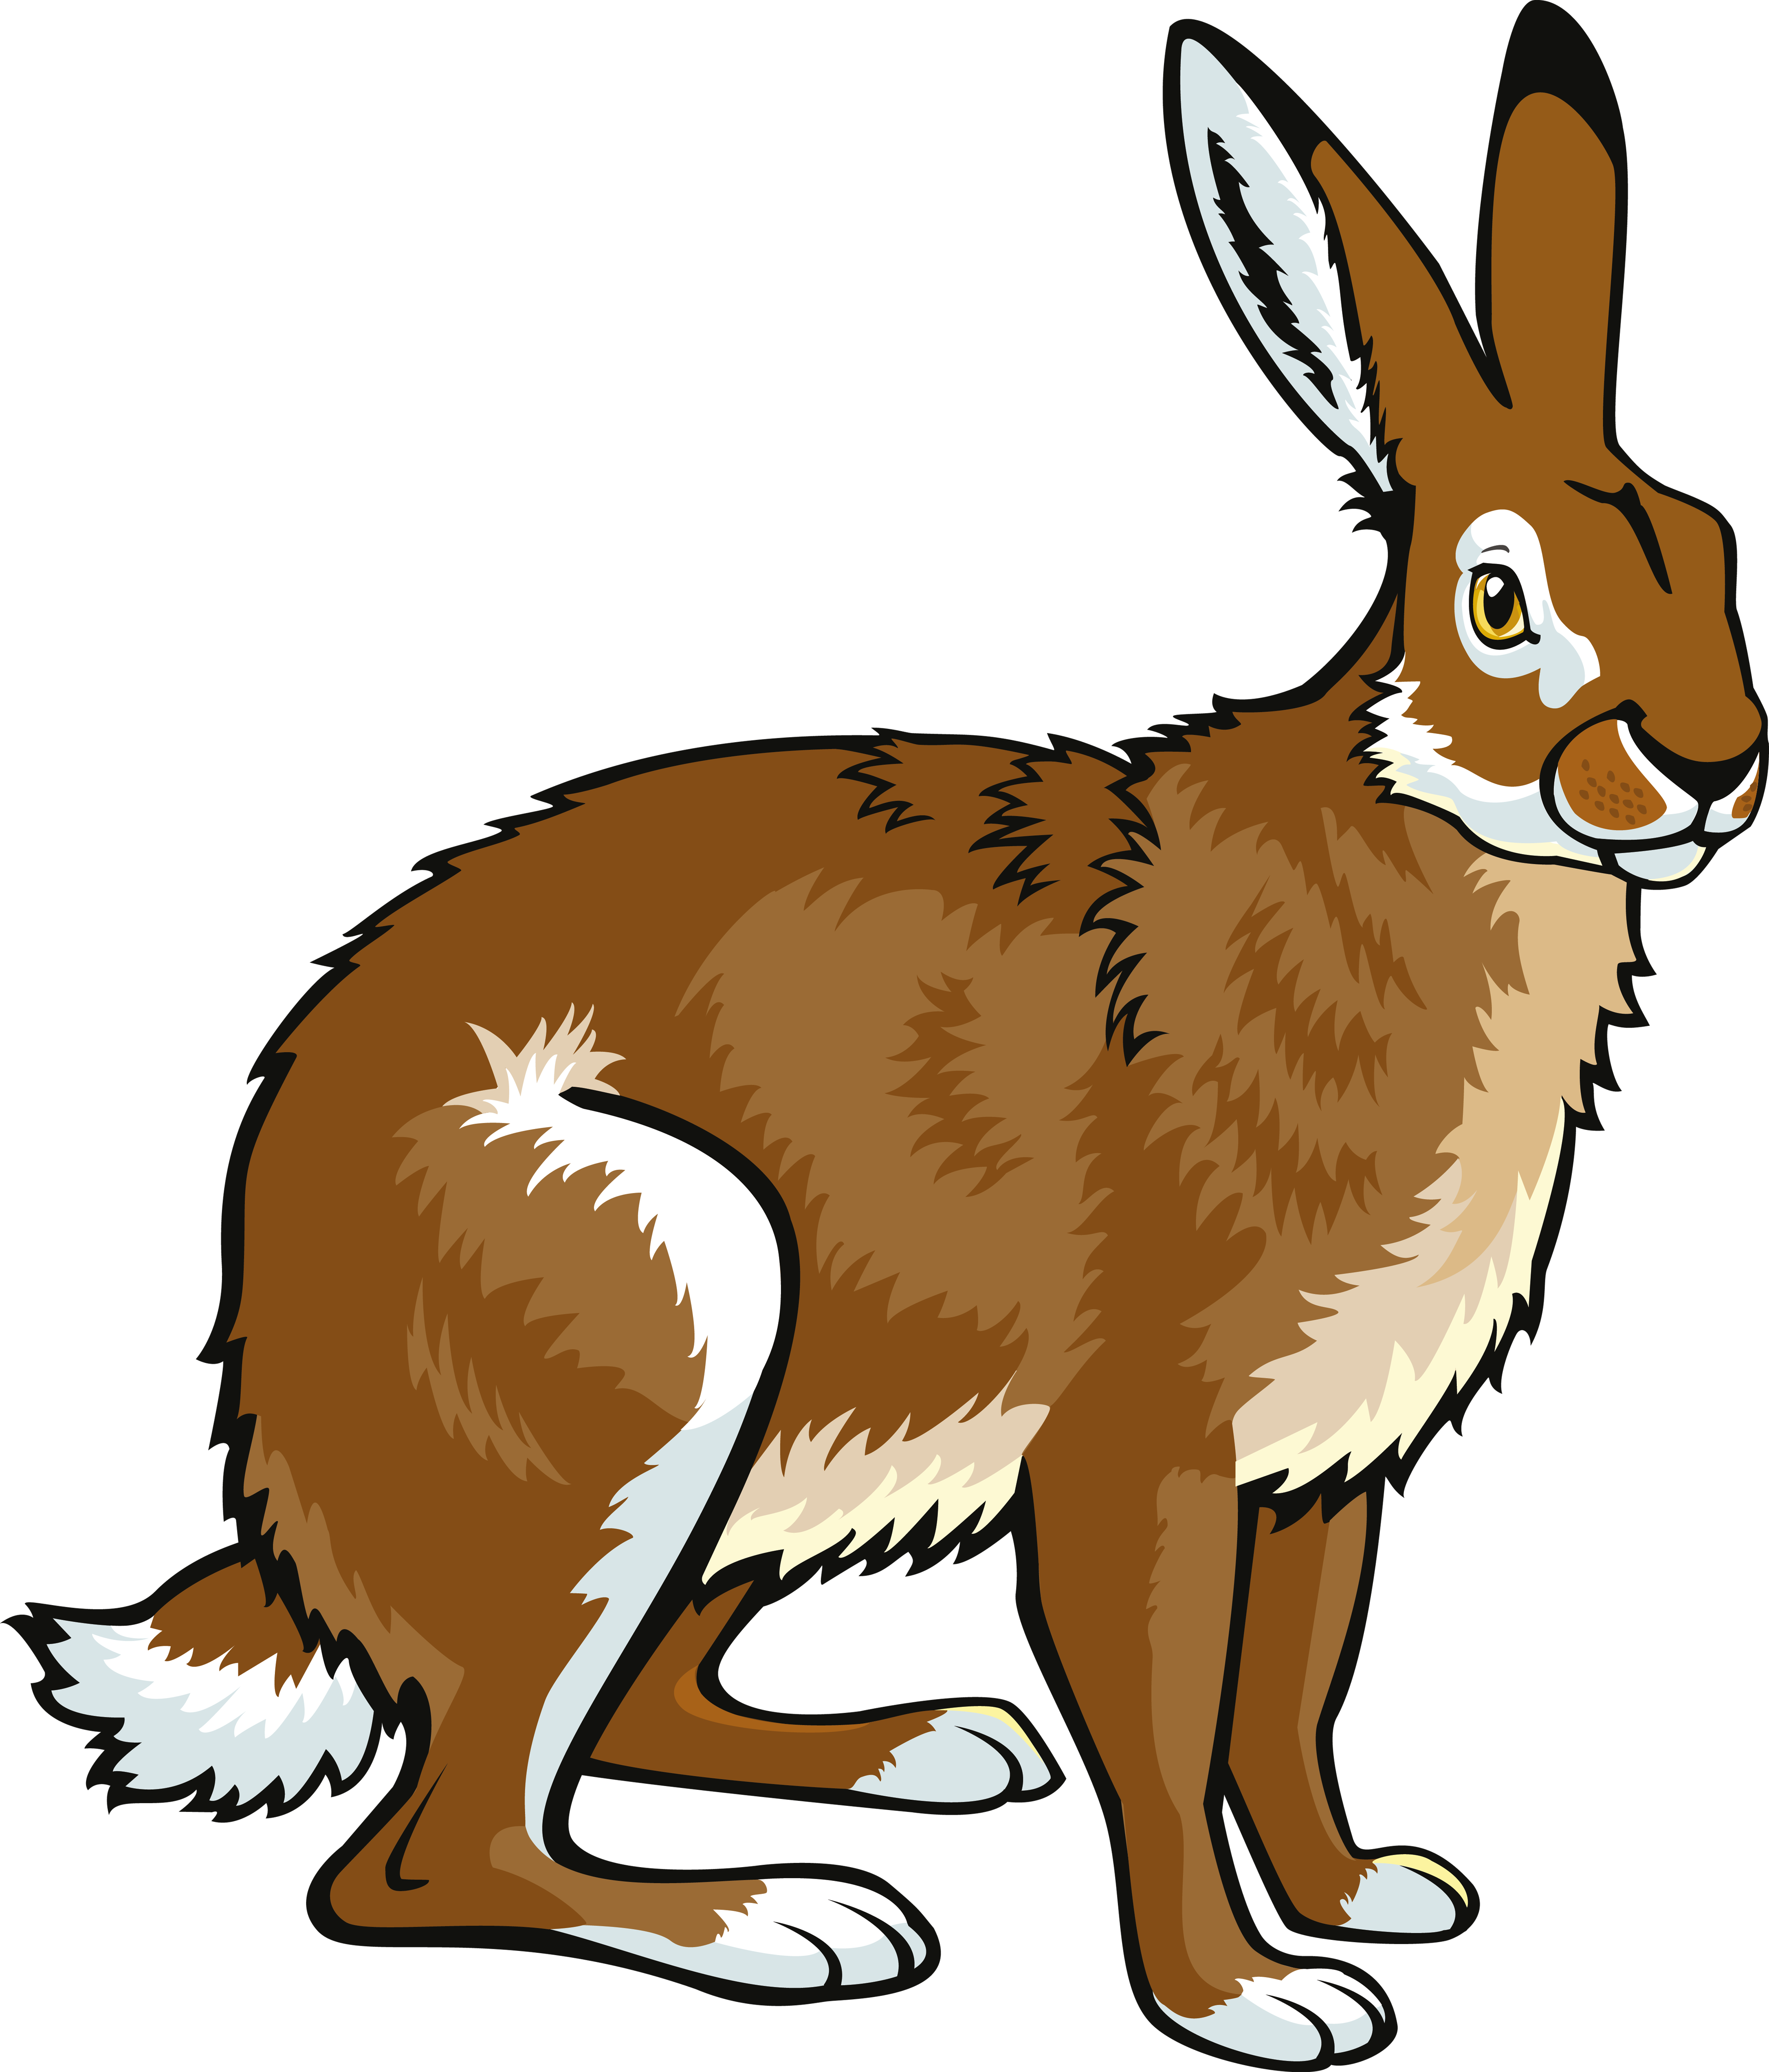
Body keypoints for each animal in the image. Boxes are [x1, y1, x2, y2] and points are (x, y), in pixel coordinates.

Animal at [49, 36, 1759, 2062]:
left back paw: (928, 1749)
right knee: (435, 1851)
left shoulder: (1327, 1467)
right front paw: (1249, 1996)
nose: (1717, 766)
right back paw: (786, 1924)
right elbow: (1166, 1734)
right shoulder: (1142, 1450)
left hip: (752, 1448)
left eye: (1708, 550)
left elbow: (1282, 1709)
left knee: (618, 1719)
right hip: (665, 1310)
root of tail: (298, 1493)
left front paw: (1369, 1900)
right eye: (1500, 601)